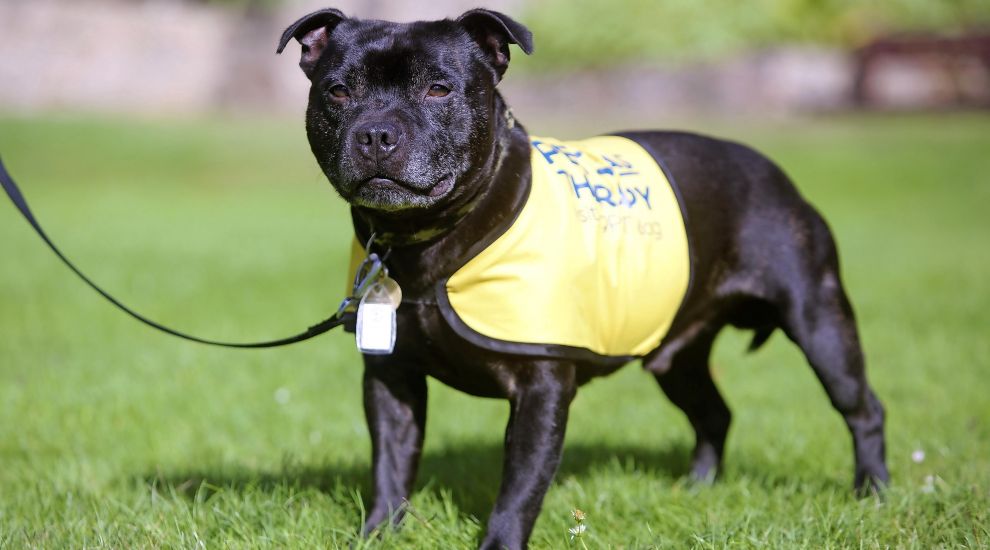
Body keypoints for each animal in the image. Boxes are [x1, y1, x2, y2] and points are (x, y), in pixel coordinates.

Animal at [278, 6, 892, 548]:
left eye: (439, 90)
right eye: (338, 91)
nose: (376, 134)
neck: (422, 241)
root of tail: (773, 171)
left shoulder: (541, 389)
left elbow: (519, 489)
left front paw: (499, 543)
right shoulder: (391, 380)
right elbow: (390, 470)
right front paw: (377, 536)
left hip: (820, 322)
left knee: (862, 408)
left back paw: (873, 495)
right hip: (677, 356)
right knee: (714, 413)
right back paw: (697, 489)